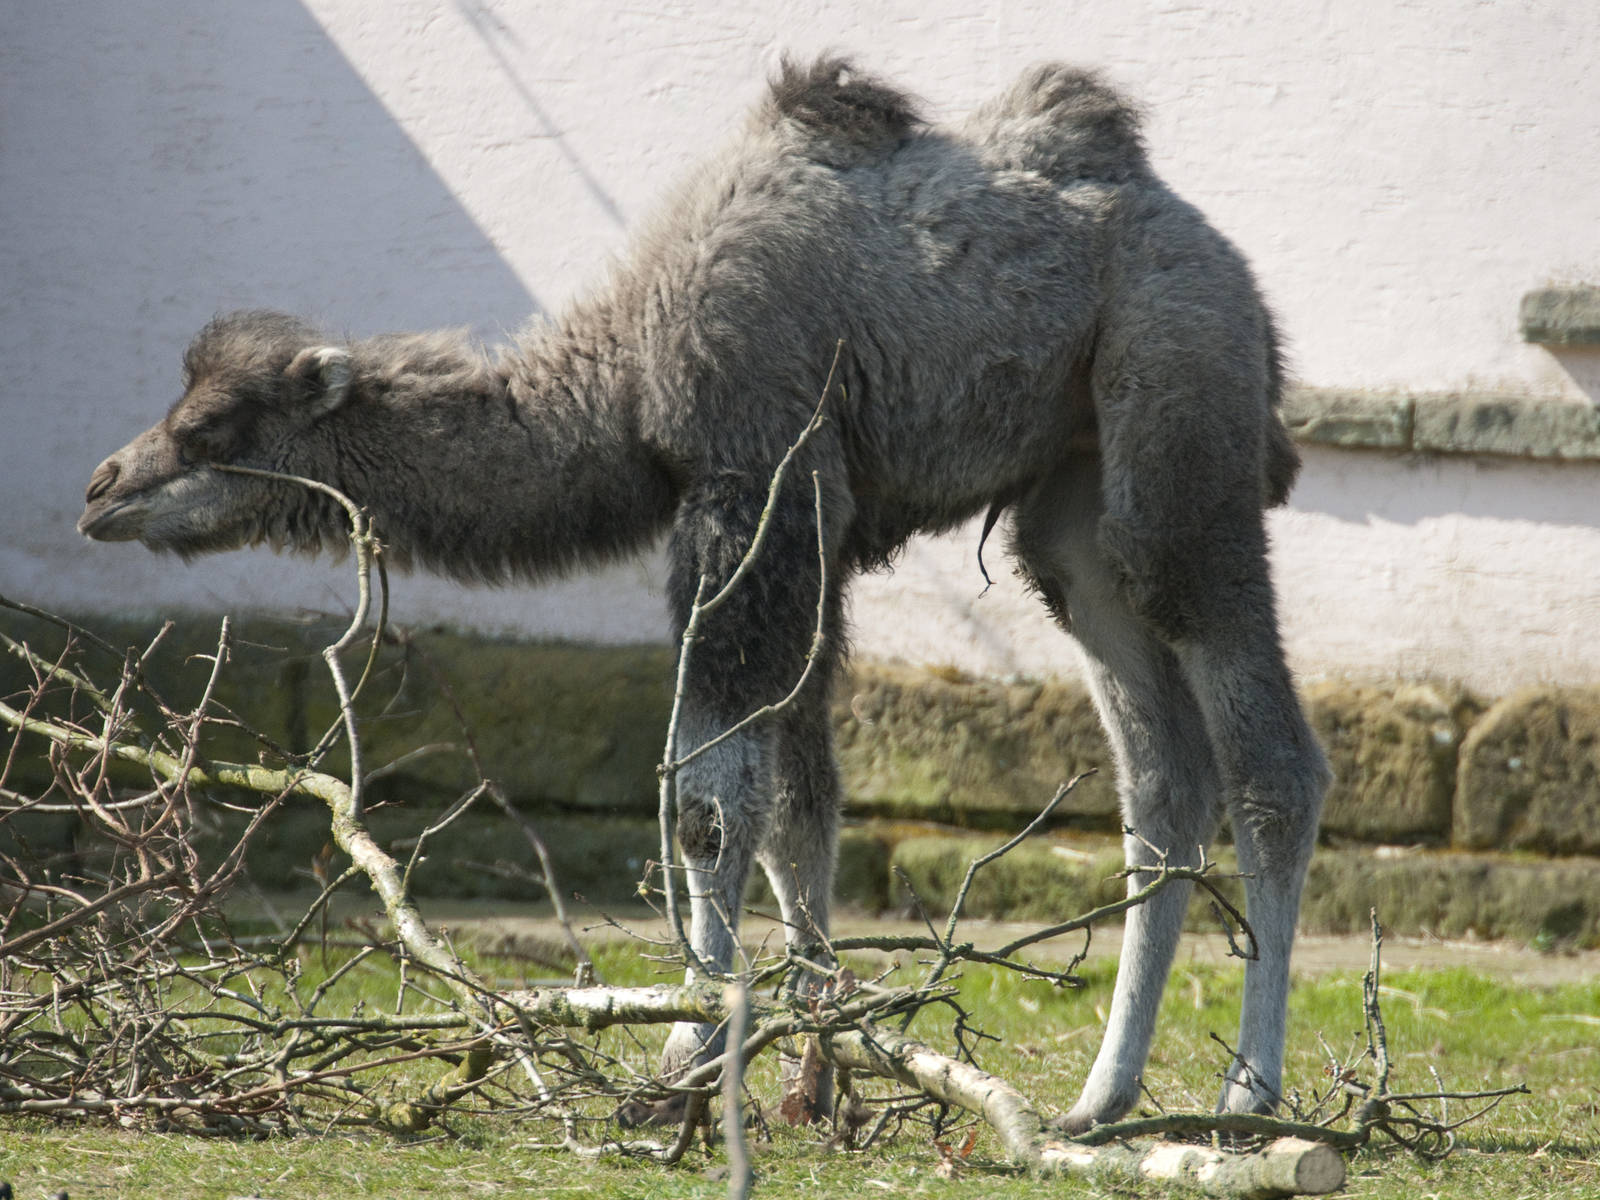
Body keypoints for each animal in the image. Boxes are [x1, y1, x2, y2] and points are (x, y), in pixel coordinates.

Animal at [78, 58, 1329, 1132]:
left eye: (213, 429)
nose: (101, 489)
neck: (628, 376)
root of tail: (1237, 280)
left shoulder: (751, 491)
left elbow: (707, 800)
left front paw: (685, 1057)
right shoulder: (805, 535)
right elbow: (796, 803)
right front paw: (817, 1068)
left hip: (1177, 415)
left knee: (1268, 759)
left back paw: (1245, 1097)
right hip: (1068, 509)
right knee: (1161, 781)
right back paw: (1098, 1101)